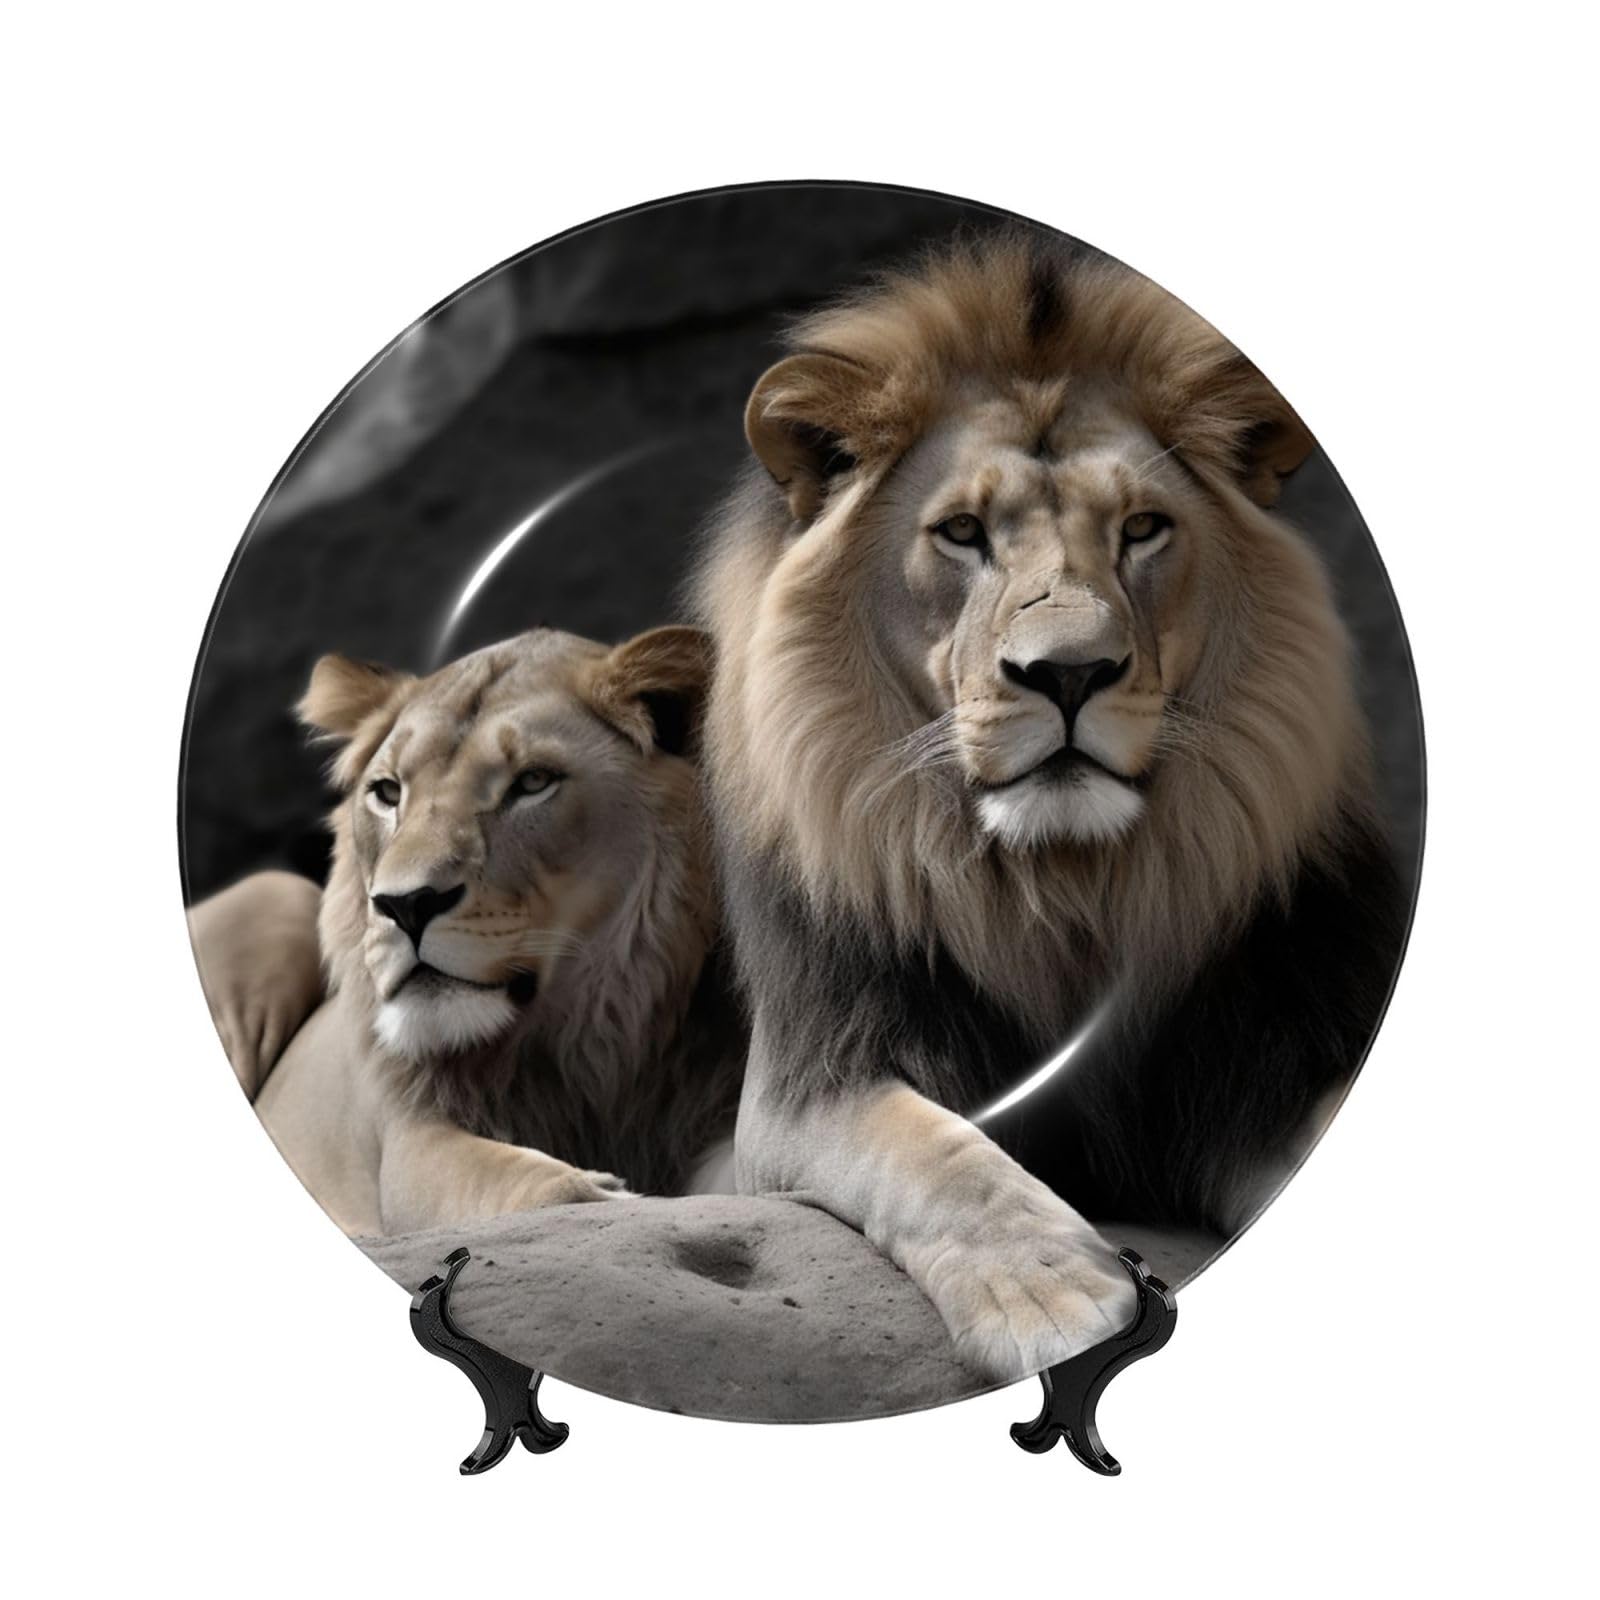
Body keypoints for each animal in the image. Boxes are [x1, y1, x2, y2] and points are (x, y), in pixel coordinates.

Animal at [188, 624, 745, 1236]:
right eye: (387, 792)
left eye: (533, 782)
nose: (405, 905)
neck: (585, 1049)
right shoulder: (409, 1144)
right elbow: (536, 1186)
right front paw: (607, 1196)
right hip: (276, 892)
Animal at [695, 230, 1408, 1381]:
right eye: (962, 533)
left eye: (1143, 529)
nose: (1068, 671)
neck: (1063, 889)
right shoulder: (799, 1090)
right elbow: (932, 1152)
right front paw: (1058, 1298)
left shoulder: (1284, 1045)